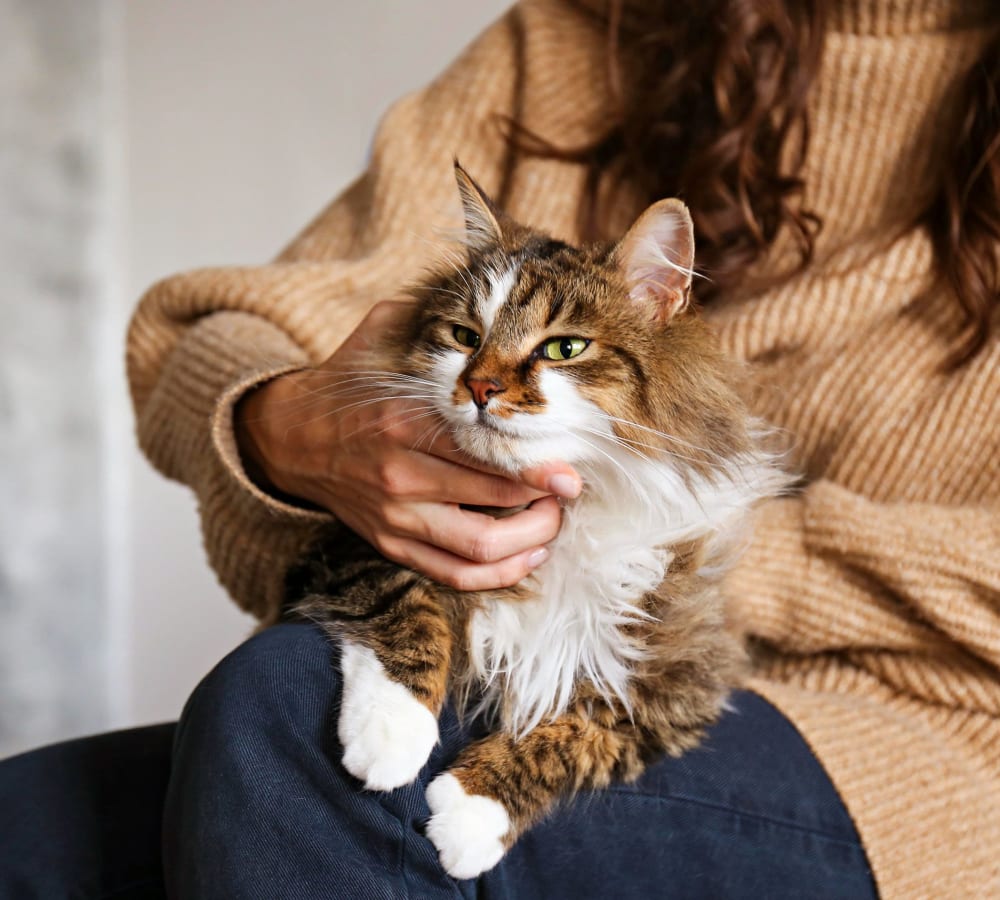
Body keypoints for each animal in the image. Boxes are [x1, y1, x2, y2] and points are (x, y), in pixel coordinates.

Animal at [288, 162, 788, 880]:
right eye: (465, 338)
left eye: (564, 348)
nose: (479, 388)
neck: (566, 515)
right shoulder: (353, 534)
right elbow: (407, 606)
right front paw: (391, 733)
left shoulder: (676, 680)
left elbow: (574, 736)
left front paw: (471, 813)